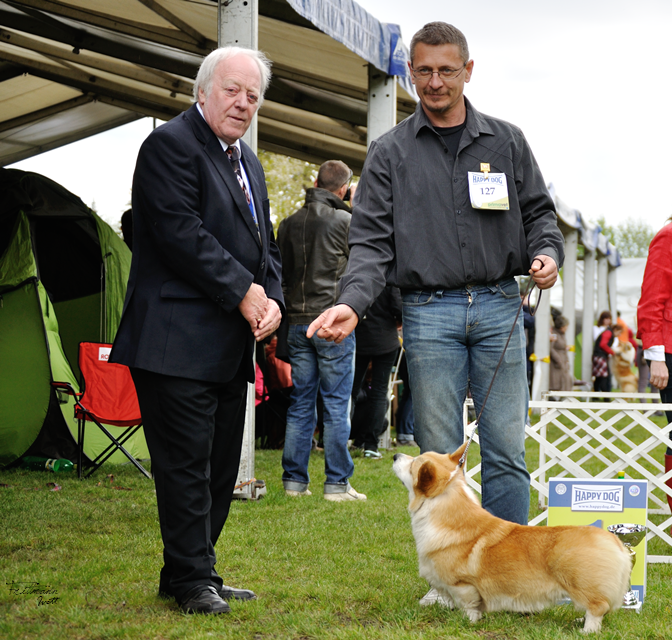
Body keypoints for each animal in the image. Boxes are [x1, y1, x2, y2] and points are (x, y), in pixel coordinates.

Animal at [392, 444, 632, 636]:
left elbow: (469, 606)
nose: (395, 455)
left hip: (581, 583)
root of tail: (616, 543)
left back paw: (586, 630)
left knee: (597, 608)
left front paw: (467, 622)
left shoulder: (462, 585)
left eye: (413, 465)